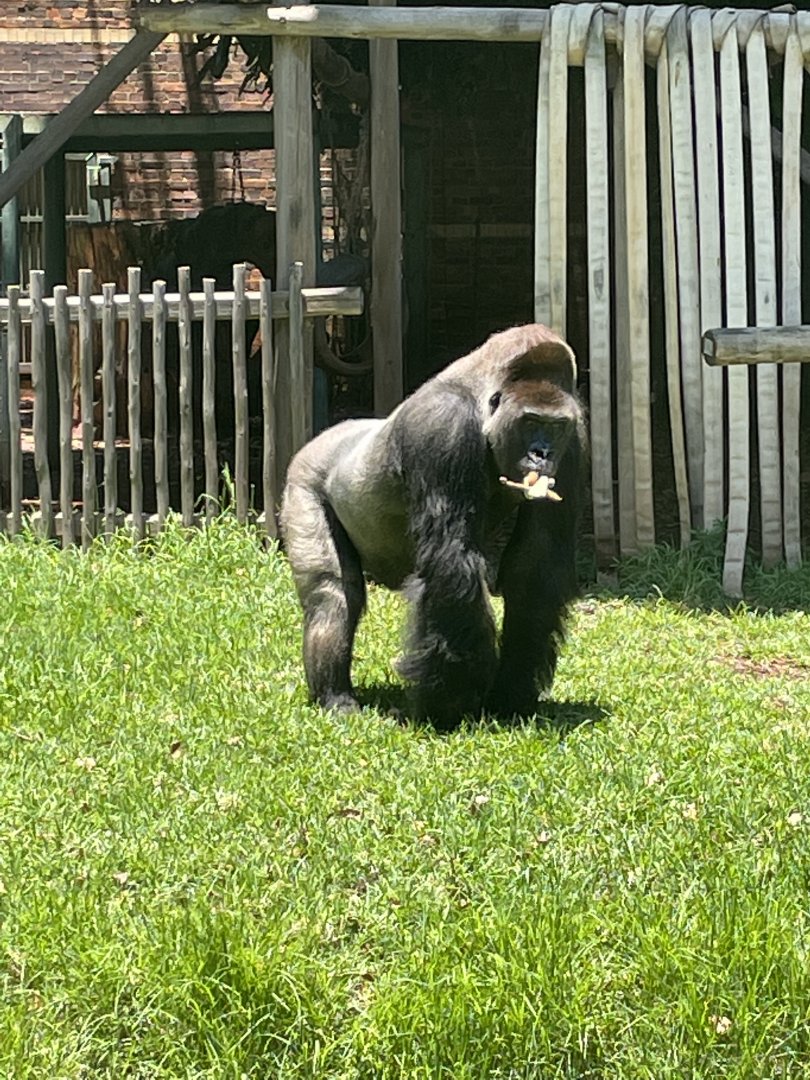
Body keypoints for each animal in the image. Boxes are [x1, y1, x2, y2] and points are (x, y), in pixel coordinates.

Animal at [280, 323, 587, 728]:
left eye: (555, 427)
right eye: (530, 422)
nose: (542, 453)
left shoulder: (573, 444)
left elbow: (536, 569)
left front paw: (509, 693)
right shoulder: (443, 425)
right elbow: (451, 559)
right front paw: (453, 699)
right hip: (302, 481)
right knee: (331, 595)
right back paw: (335, 696)